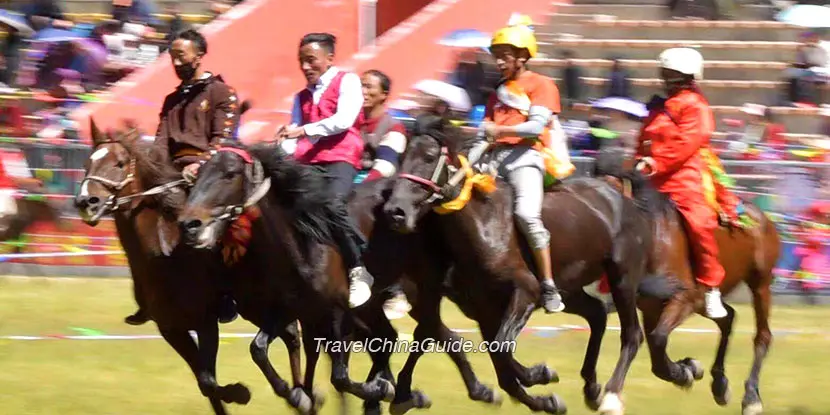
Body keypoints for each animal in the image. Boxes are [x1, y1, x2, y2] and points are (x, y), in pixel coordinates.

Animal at [73, 121, 304, 415]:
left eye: (120, 163)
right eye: (87, 162)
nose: (86, 202)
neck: (165, 255)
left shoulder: (205, 323)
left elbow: (209, 379)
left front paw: (240, 393)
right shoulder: (172, 329)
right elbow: (206, 383)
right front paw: (236, 394)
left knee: (290, 334)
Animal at [384, 114, 684, 415]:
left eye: (429, 156)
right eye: (403, 156)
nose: (395, 212)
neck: (484, 224)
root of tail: (621, 196)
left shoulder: (525, 292)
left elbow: (501, 349)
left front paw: (540, 374)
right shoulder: (482, 310)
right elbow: (501, 364)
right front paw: (545, 397)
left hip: (622, 278)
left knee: (632, 334)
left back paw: (612, 395)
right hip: (571, 289)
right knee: (598, 315)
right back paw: (600, 386)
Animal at [596, 147, 784, 415]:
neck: (654, 237)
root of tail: (759, 215)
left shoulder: (683, 299)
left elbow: (657, 340)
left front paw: (685, 371)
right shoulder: (649, 306)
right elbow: (653, 350)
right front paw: (688, 369)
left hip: (759, 284)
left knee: (762, 336)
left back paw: (751, 398)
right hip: (706, 300)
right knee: (727, 318)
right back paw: (719, 384)